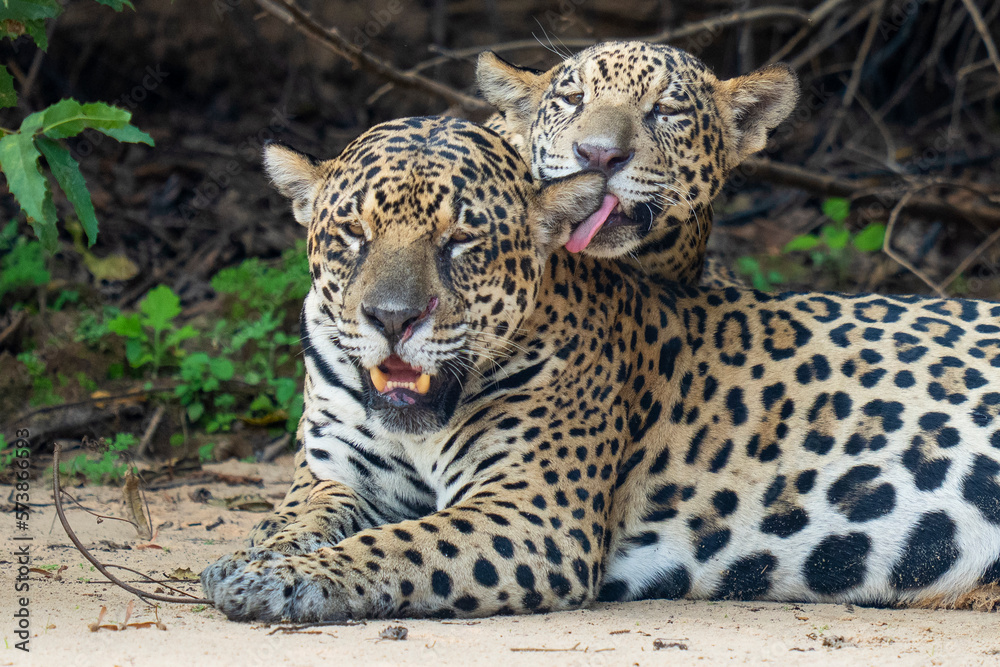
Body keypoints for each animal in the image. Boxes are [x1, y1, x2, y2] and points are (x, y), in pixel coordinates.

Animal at [201, 115, 1000, 622]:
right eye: (352, 236)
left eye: (462, 242)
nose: (392, 319)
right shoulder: (336, 474)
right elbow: (295, 517)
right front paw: (258, 560)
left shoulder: (533, 513)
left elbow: (400, 542)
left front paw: (293, 578)